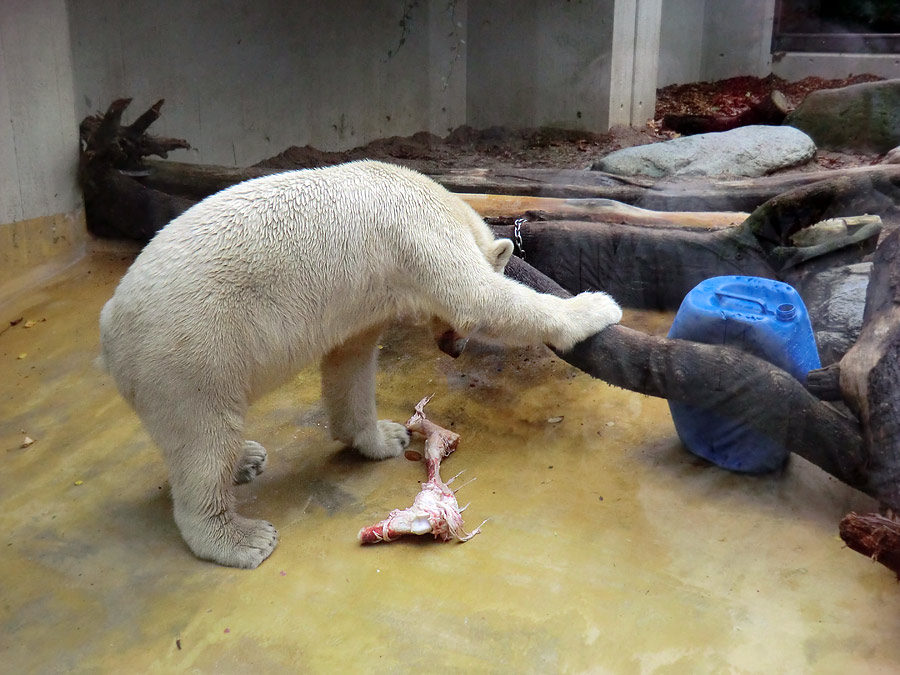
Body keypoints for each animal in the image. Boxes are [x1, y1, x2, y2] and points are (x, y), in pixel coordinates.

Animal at [98, 161, 620, 568]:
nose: (453, 349)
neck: (436, 196)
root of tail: (109, 327)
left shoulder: (364, 297)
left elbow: (350, 360)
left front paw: (387, 436)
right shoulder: (420, 232)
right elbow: (479, 299)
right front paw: (596, 307)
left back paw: (247, 459)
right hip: (192, 351)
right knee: (205, 438)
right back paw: (242, 536)